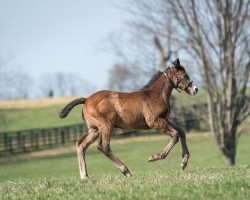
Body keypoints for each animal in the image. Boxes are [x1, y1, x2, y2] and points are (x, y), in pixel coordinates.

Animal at [59, 58, 198, 180]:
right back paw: (126, 171)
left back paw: (85, 176)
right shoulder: (154, 122)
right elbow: (175, 135)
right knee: (103, 146)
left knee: (81, 144)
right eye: (185, 75)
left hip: (94, 129)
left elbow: (181, 132)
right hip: (106, 125)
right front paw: (155, 157)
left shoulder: (163, 119)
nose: (195, 89)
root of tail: (86, 99)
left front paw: (184, 162)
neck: (155, 95)